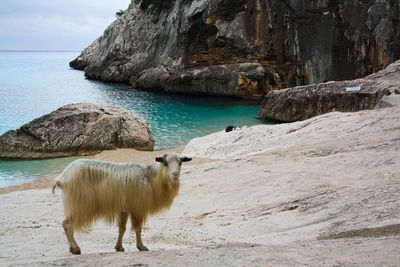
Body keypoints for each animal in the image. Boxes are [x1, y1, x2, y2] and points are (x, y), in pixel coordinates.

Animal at [52, 153, 193, 255]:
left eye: (180, 162)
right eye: (165, 163)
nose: (175, 174)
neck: (150, 179)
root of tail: (62, 178)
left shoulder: (125, 208)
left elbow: (122, 228)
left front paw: (119, 247)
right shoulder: (137, 208)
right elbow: (138, 228)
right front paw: (141, 246)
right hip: (79, 205)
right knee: (67, 224)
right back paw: (75, 248)